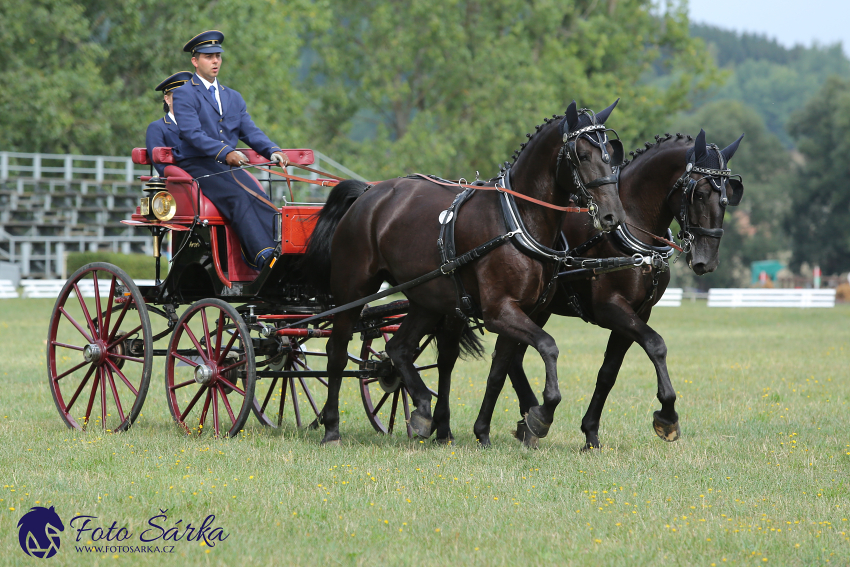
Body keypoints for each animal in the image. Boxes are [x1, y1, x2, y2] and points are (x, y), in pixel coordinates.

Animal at [302, 103, 628, 448]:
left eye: (611, 153)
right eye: (582, 155)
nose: (613, 216)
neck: (517, 219)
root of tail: (368, 193)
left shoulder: (523, 312)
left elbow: (498, 372)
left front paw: (483, 431)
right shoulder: (500, 311)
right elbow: (548, 346)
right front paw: (541, 415)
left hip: (426, 301)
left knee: (399, 348)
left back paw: (423, 411)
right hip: (353, 290)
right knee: (336, 353)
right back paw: (331, 428)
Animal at [474, 127, 744, 448]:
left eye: (727, 198)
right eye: (699, 193)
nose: (707, 261)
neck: (628, 230)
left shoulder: (638, 313)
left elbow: (608, 373)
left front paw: (590, 432)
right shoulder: (611, 308)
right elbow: (656, 344)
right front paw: (667, 415)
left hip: (537, 309)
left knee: (513, 358)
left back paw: (527, 419)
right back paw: (531, 416)